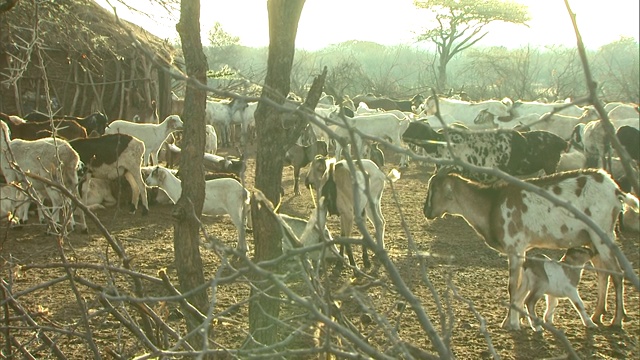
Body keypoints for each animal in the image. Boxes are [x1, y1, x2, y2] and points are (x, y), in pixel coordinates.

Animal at [422, 168, 636, 330]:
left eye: (434, 188)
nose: (426, 211)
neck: (491, 205)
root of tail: (615, 190)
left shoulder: (515, 246)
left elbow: (513, 286)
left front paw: (511, 323)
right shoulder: (522, 249)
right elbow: (519, 285)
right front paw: (516, 321)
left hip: (601, 233)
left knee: (616, 272)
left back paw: (616, 320)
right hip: (592, 237)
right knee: (604, 272)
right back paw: (598, 315)